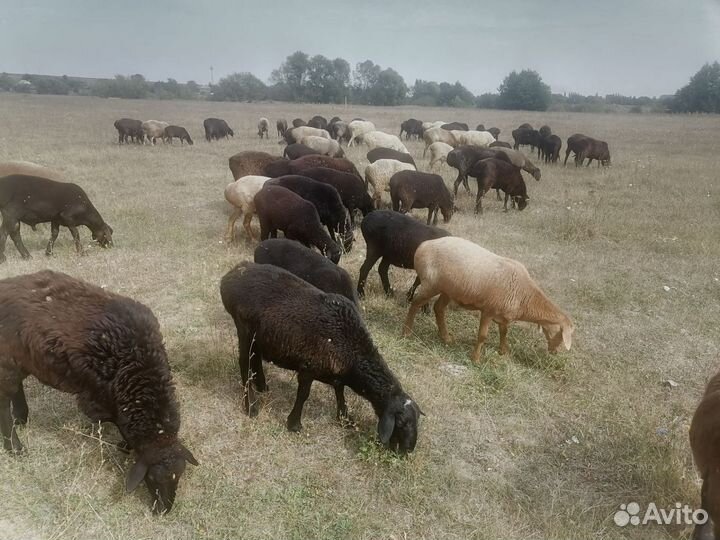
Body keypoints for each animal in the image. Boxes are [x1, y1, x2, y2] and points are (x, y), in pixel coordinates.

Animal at [0, 270, 198, 513]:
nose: (163, 511)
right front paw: (125, 444)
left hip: (21, 360)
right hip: (6, 361)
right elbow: (116, 422)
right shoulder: (98, 396)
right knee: (3, 403)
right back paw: (15, 447)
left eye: (179, 476)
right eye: (152, 478)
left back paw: (22, 417)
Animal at [220, 262, 422, 453]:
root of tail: (234, 273)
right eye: (401, 423)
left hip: (260, 335)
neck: (352, 350)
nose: (407, 451)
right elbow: (303, 395)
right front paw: (294, 424)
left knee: (255, 358)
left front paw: (345, 418)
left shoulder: (335, 371)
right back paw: (251, 405)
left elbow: (339, 391)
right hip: (244, 328)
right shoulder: (309, 367)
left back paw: (262, 386)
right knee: (244, 362)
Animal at [402, 237, 574, 362]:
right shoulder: (488, 310)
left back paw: (446, 337)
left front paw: (504, 351)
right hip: (431, 284)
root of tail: (424, 245)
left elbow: (504, 332)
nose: (555, 352)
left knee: (438, 308)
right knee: (415, 303)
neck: (524, 296)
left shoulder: (502, 315)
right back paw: (406, 332)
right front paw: (476, 359)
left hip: (448, 289)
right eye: (561, 335)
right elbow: (482, 336)